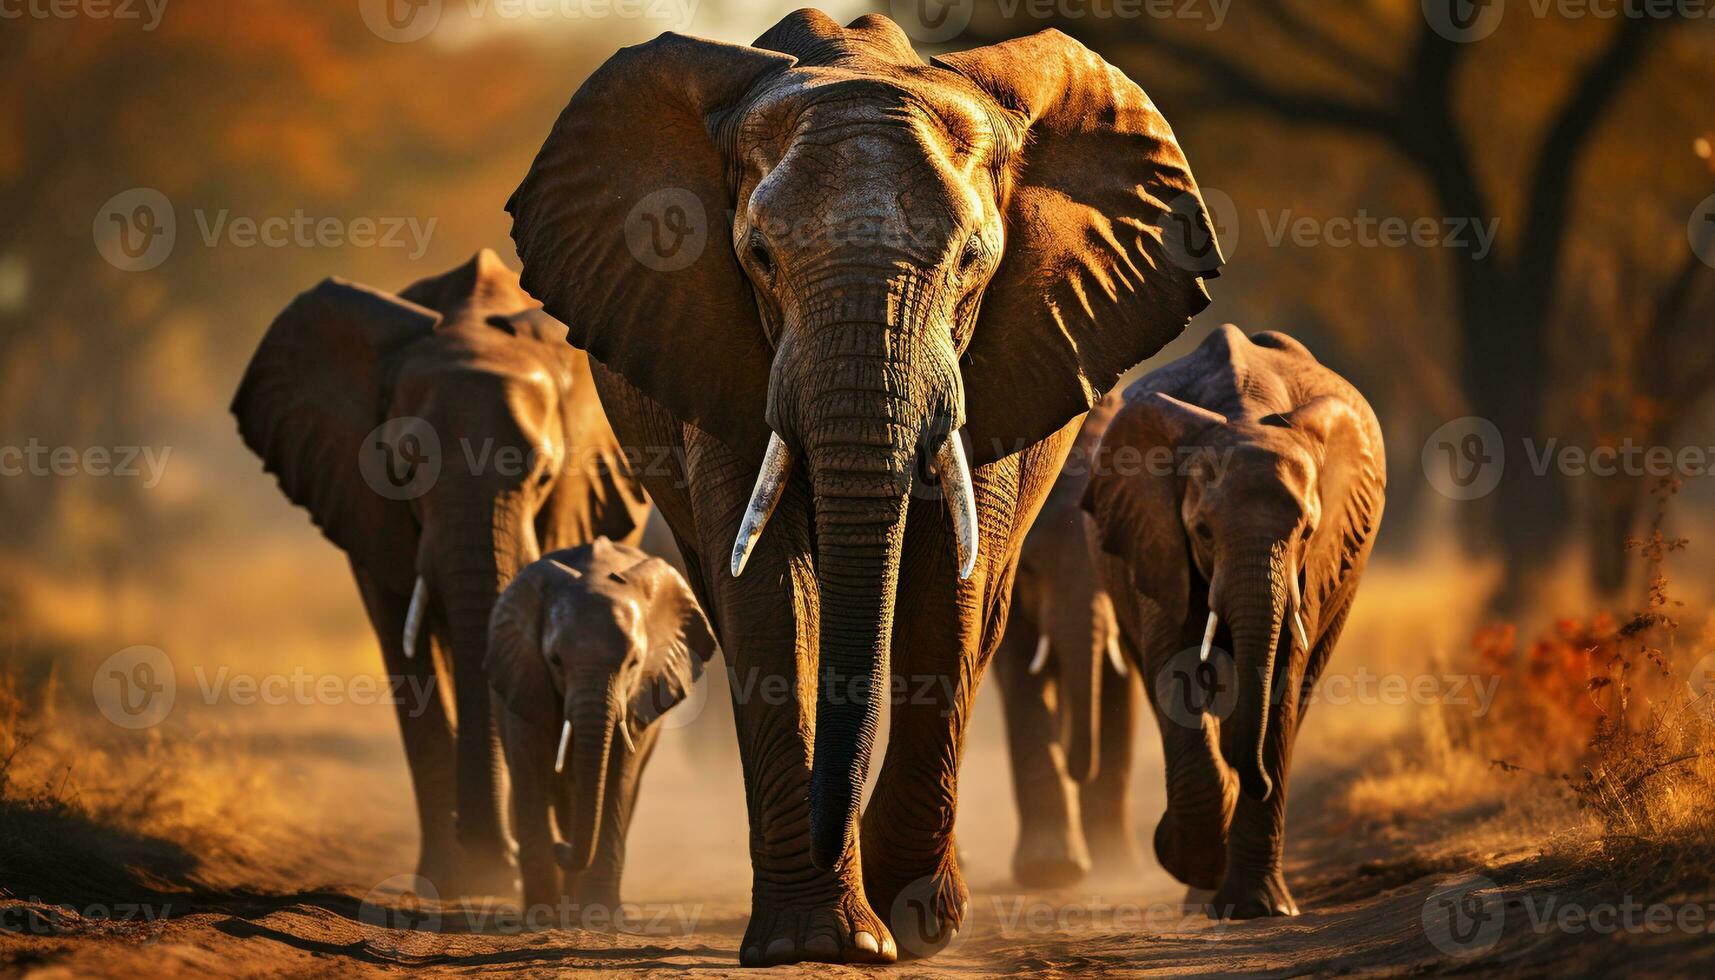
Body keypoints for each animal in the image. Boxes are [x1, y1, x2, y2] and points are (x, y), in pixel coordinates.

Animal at [231, 250, 644, 899]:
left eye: (543, 475)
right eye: (402, 468)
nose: (496, 856)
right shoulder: (361, 499)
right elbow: (407, 650)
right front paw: (460, 878)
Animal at [487, 535, 720, 919]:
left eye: (634, 663)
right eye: (555, 660)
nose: (562, 848)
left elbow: (616, 777)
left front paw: (599, 915)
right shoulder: (526, 676)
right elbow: (530, 769)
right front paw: (541, 914)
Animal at [987, 391, 1145, 892]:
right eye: (1032, 568)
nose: (1077, 766)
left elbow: (1118, 685)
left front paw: (1118, 868)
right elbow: (1021, 678)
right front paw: (1050, 873)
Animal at [1090, 327, 1385, 919]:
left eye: (1306, 531)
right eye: (1202, 532)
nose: (1256, 780)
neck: (1246, 411)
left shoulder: (1312, 568)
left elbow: (1281, 688)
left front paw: (1256, 910)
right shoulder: (1157, 539)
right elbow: (1176, 672)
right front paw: (1192, 850)